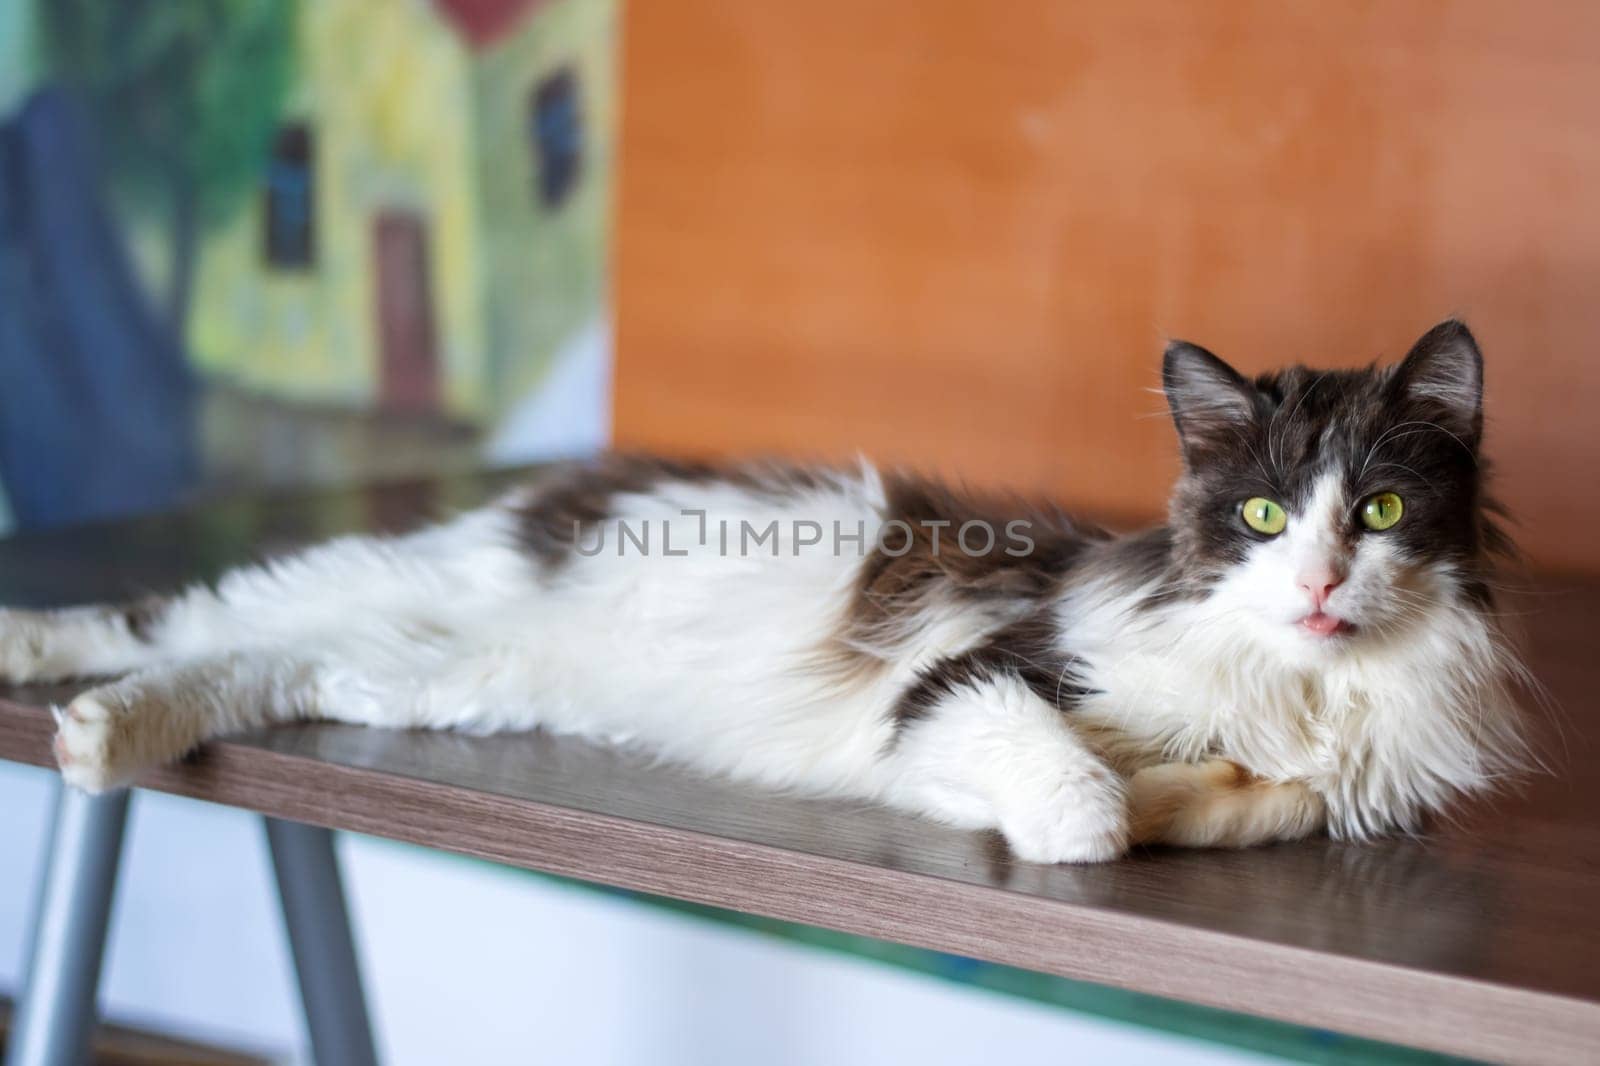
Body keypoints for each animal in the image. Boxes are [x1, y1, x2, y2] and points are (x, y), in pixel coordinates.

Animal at [0, 320, 1523, 857]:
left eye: (1378, 512)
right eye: (1265, 514)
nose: (1319, 580)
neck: (1301, 680)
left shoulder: (1329, 787)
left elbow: (1250, 800)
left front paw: (1181, 789)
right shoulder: (969, 680)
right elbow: (1085, 805)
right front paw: (1085, 809)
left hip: (428, 670)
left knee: (259, 664)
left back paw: (100, 738)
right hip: (416, 578)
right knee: (183, 615)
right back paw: (42, 664)